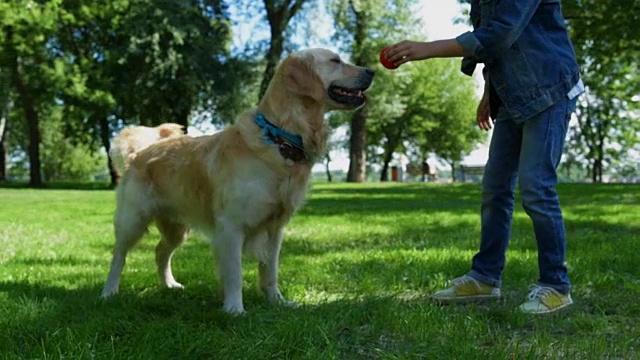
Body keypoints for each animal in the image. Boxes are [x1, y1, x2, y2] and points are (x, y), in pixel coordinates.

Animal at [100, 49, 376, 314]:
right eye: (335, 60)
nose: (372, 71)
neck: (279, 138)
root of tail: (139, 152)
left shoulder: (275, 228)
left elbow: (270, 271)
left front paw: (277, 302)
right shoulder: (231, 226)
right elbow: (235, 273)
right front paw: (234, 309)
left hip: (176, 227)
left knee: (160, 251)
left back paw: (169, 285)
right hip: (133, 219)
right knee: (118, 256)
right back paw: (109, 292)